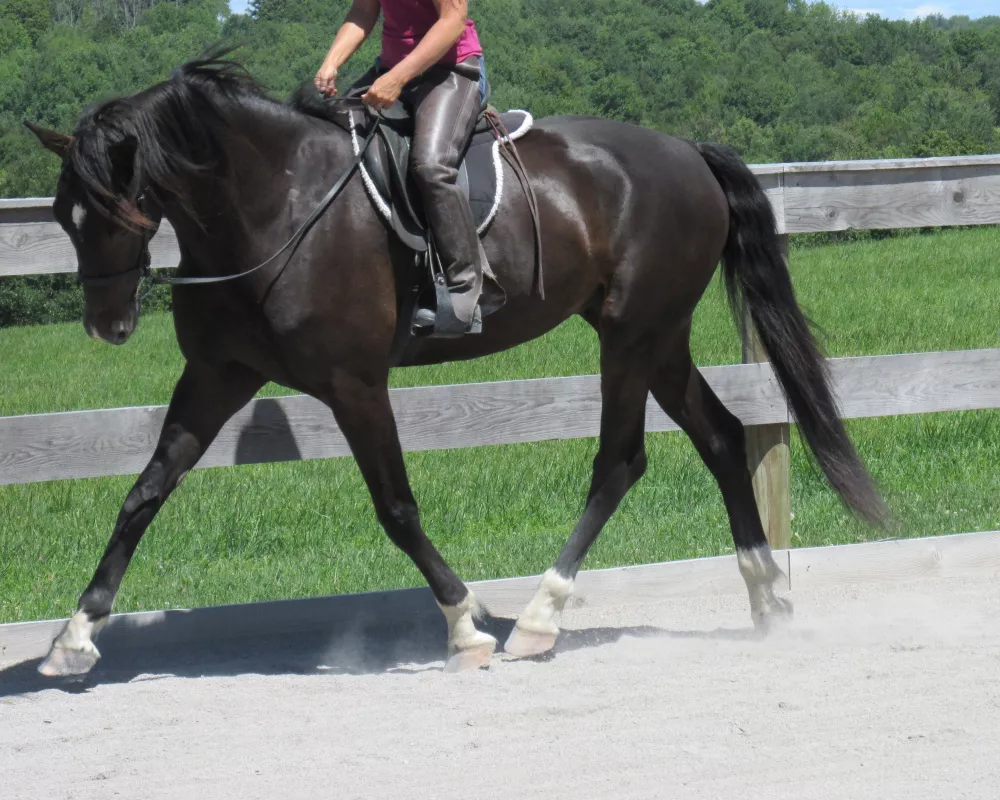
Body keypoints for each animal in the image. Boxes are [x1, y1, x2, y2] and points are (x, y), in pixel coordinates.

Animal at [25, 54, 884, 676]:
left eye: (120, 210)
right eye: (66, 216)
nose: (106, 325)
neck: (276, 205)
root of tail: (688, 154)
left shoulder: (354, 385)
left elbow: (396, 509)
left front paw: (465, 626)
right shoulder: (216, 377)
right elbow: (143, 495)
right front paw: (75, 636)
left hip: (631, 336)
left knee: (620, 460)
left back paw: (538, 619)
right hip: (657, 337)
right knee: (721, 436)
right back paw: (767, 599)